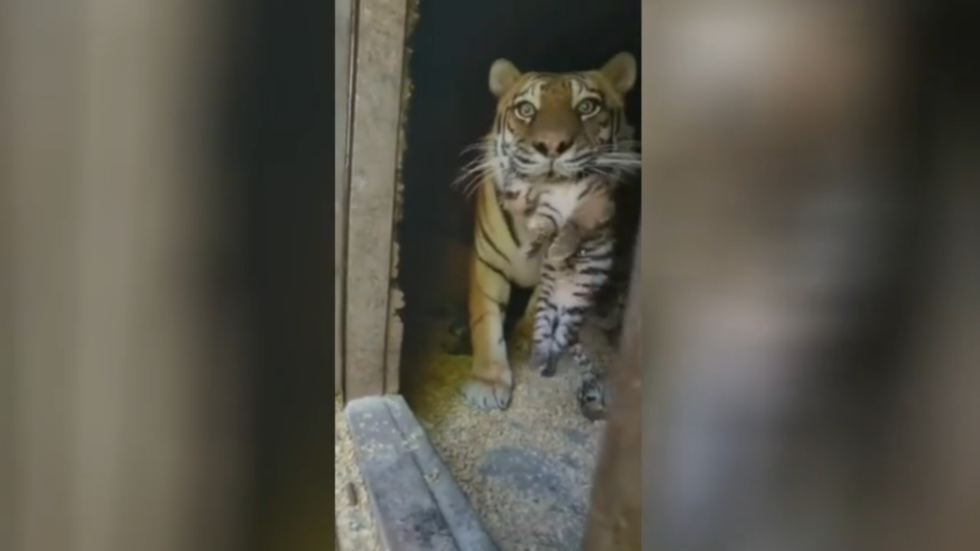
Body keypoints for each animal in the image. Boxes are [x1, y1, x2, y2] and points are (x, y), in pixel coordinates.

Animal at [456, 50, 640, 410]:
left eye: (587, 106)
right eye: (527, 109)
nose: (552, 144)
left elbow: (540, 304)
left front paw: (527, 338)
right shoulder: (488, 262)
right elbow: (486, 320)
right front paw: (488, 381)